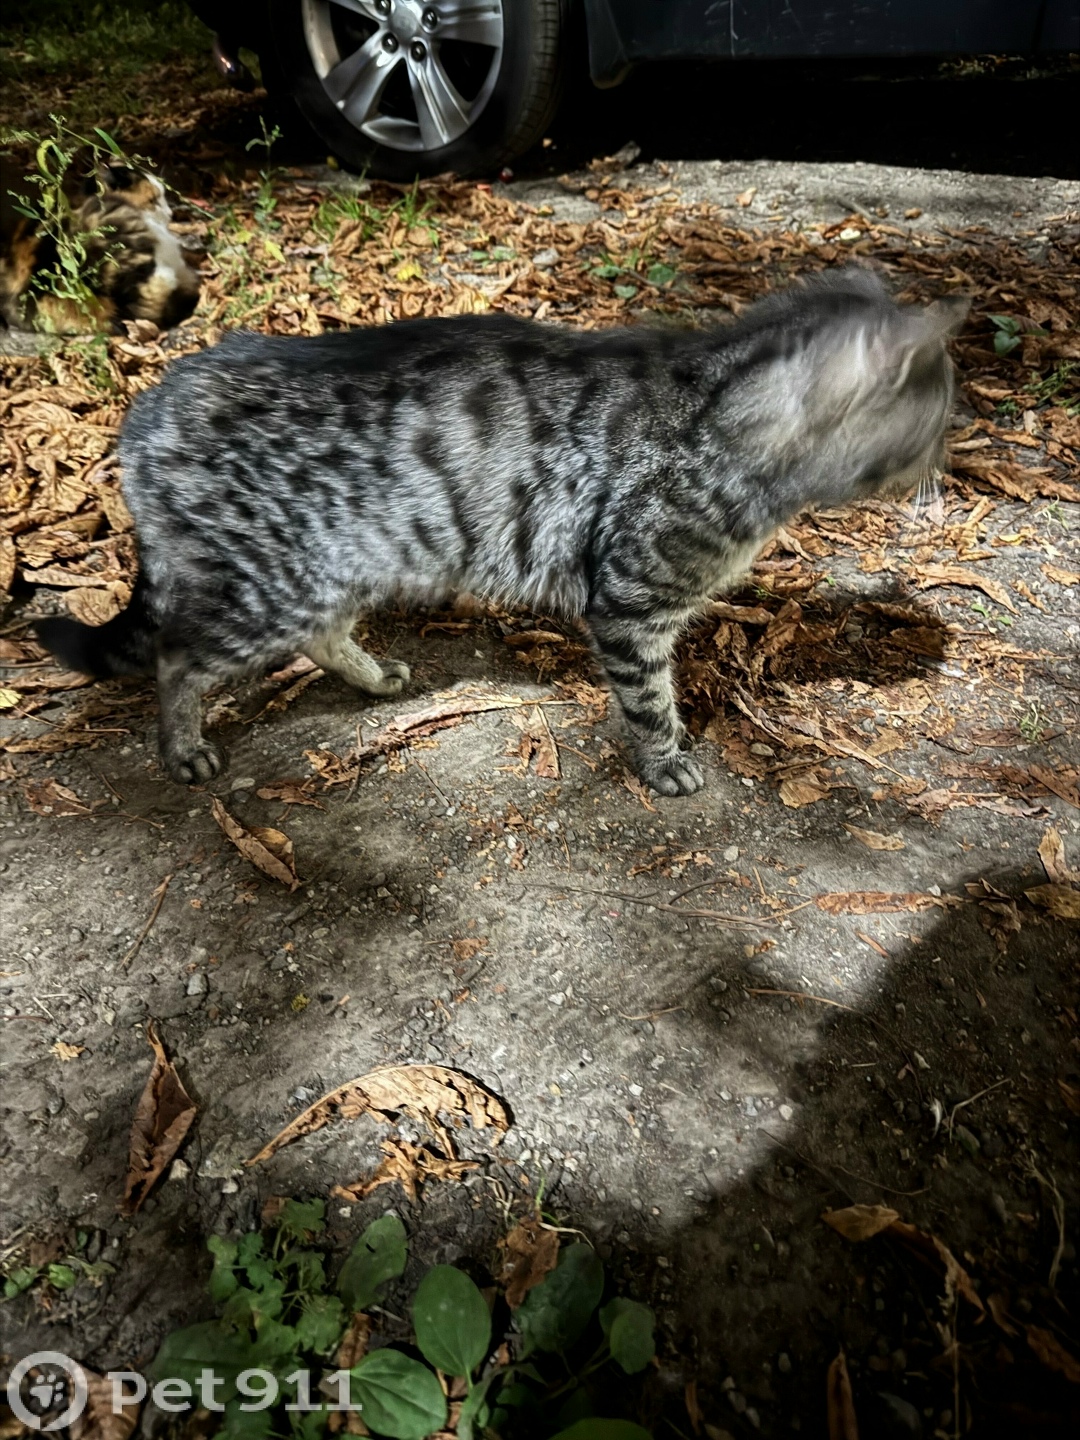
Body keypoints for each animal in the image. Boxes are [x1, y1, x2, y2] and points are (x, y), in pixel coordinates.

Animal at [36, 269, 967, 794]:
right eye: (943, 404)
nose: (948, 454)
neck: (726, 413)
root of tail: (149, 402)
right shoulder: (629, 604)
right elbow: (649, 700)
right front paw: (666, 761)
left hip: (337, 567)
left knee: (319, 636)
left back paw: (375, 678)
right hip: (268, 588)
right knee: (177, 657)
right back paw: (183, 749)